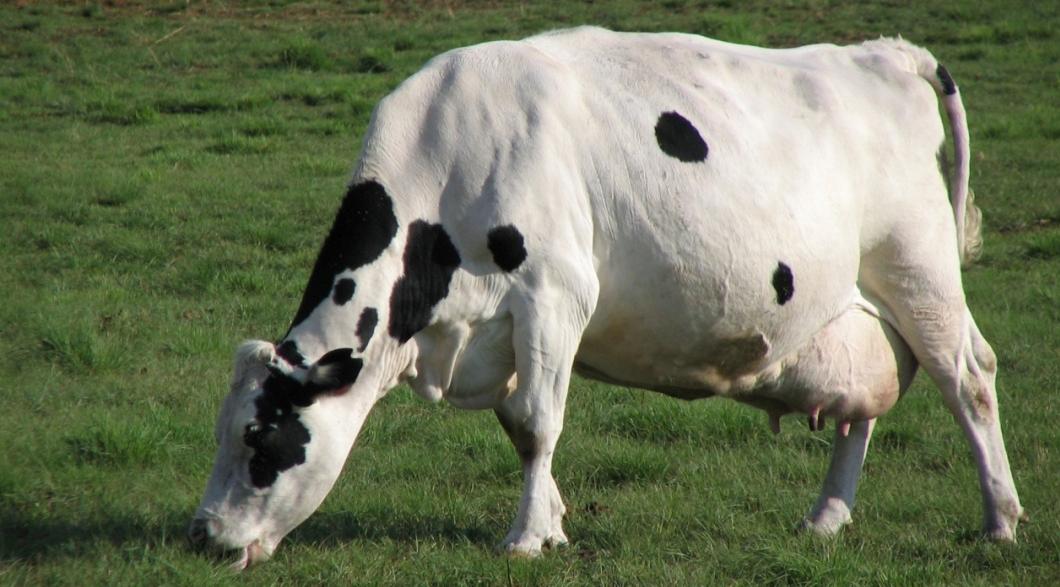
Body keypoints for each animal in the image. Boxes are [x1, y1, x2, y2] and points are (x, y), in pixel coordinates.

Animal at [186, 27, 1021, 567]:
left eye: (260, 438)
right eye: (222, 431)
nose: (203, 535)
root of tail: (882, 52)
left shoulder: (555, 293)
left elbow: (536, 422)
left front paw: (526, 538)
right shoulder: (505, 329)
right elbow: (519, 426)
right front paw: (553, 521)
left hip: (919, 268)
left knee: (969, 377)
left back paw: (1000, 521)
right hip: (857, 306)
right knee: (866, 403)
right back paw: (824, 519)